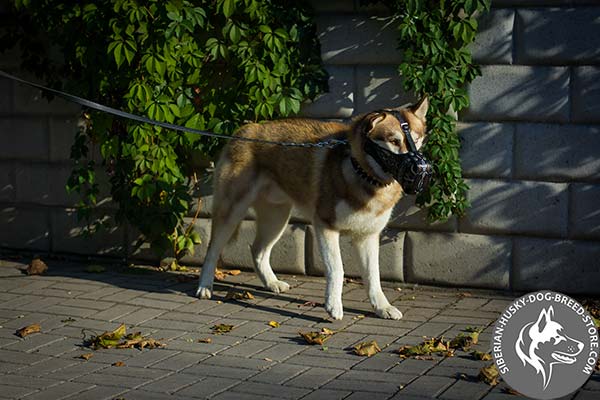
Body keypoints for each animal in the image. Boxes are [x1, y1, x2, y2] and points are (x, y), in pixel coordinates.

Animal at [195, 98, 428, 320]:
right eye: (394, 141)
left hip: (277, 218)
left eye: (416, 141)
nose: (421, 168)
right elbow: (337, 269)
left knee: (258, 250)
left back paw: (272, 283)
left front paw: (382, 307)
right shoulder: (325, 226)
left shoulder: (368, 236)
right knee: (212, 250)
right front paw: (333, 306)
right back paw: (205, 287)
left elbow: (373, 277)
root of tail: (245, 129)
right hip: (231, 212)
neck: (363, 175)